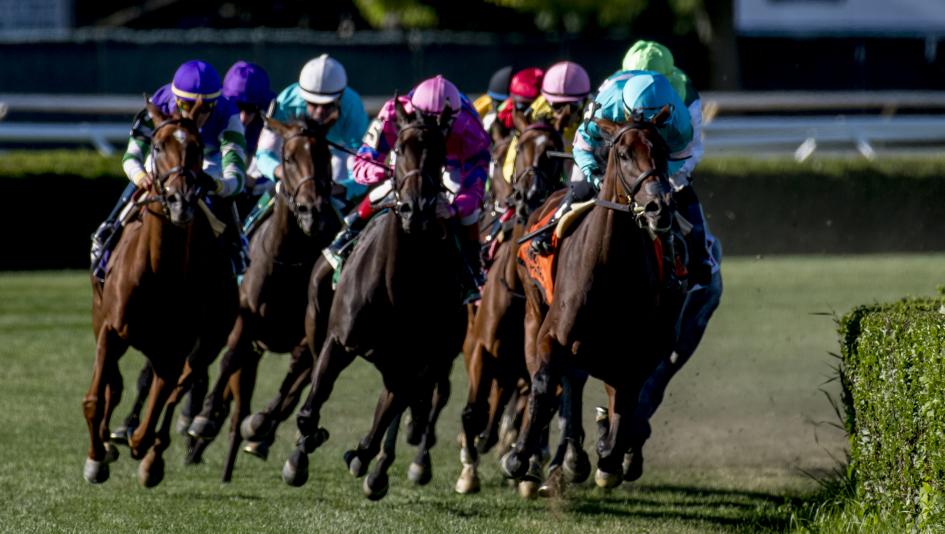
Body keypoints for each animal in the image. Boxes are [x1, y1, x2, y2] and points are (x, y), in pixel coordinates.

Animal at [83, 97, 238, 490]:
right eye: (156, 145)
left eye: (196, 147)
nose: (180, 201)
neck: (158, 268)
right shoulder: (109, 330)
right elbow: (97, 396)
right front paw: (96, 458)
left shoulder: (175, 346)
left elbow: (158, 405)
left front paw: (143, 451)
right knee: (119, 385)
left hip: (209, 338)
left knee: (180, 387)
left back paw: (152, 457)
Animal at [183, 116, 342, 482]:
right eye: (288, 157)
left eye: (325, 155)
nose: (314, 214)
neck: (287, 263)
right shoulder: (244, 322)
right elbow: (228, 363)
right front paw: (204, 418)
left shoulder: (307, 334)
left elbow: (296, 382)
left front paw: (263, 429)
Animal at [282, 99, 470, 502]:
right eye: (399, 148)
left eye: (439, 154)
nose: (416, 208)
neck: (395, 284)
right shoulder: (339, 340)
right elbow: (311, 408)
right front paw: (302, 451)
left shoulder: (413, 363)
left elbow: (385, 418)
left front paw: (363, 459)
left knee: (403, 408)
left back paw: (378, 466)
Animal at [498, 111, 684, 492]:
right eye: (624, 154)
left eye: (663, 151)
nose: (659, 207)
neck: (609, 267)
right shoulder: (551, 336)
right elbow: (543, 385)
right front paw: (518, 456)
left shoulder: (635, 355)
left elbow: (621, 415)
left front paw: (607, 452)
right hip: (534, 313)